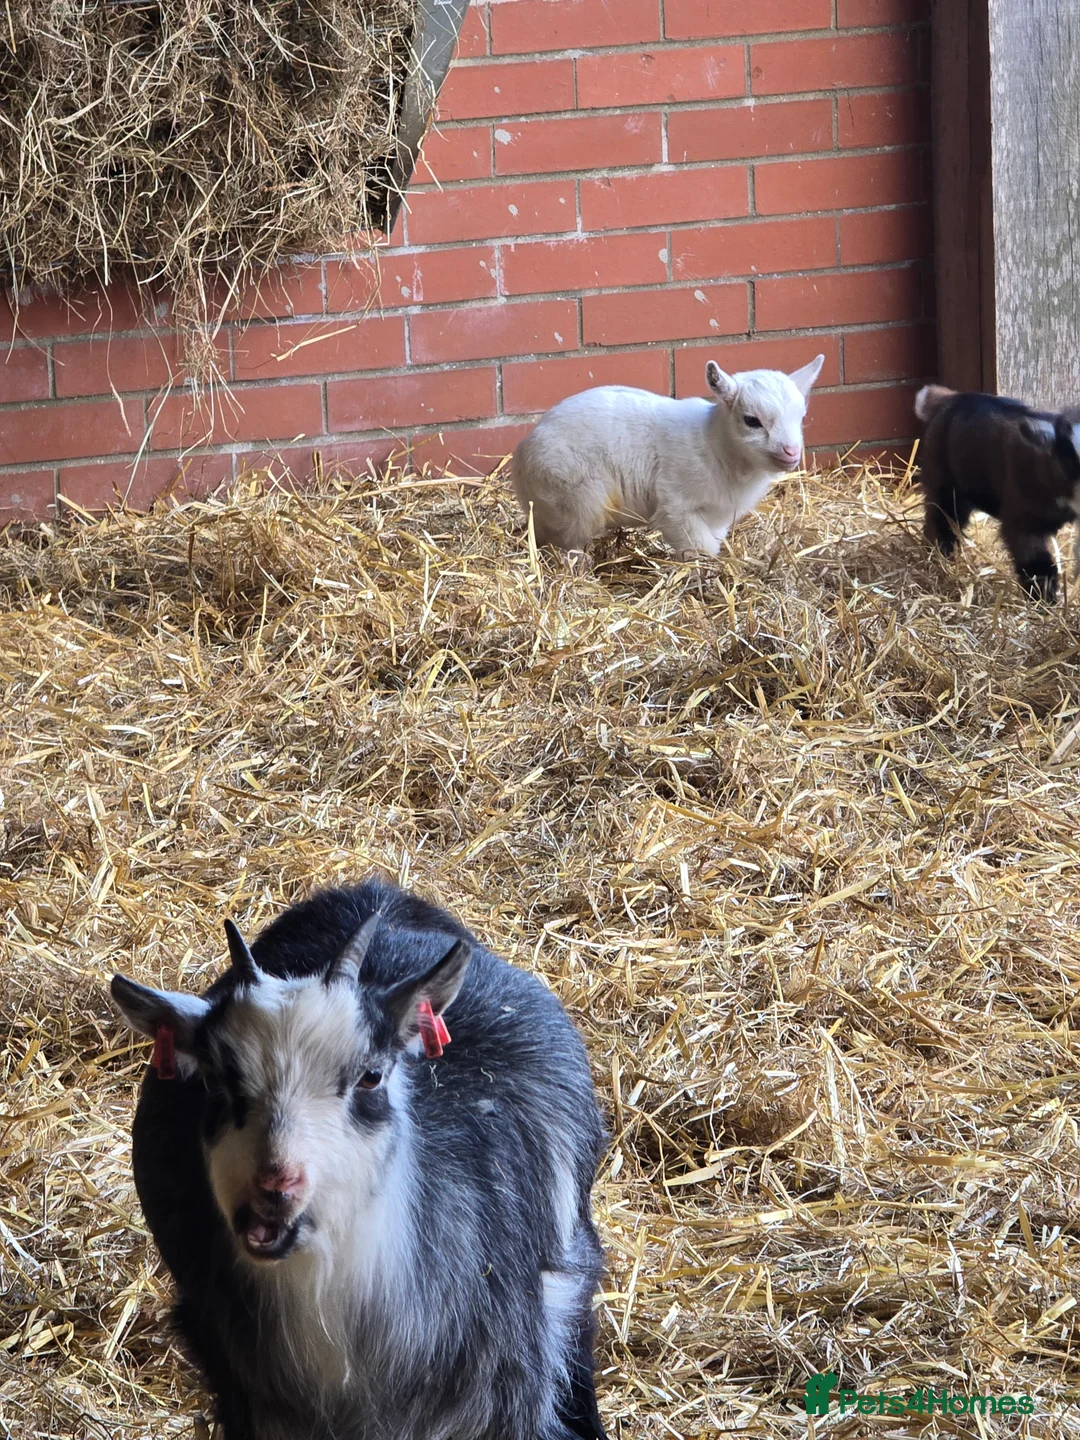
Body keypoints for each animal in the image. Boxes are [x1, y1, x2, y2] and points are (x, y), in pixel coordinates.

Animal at [510, 356, 825, 561]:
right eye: (751, 420)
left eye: (801, 417)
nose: (791, 452)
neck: (715, 446)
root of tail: (519, 459)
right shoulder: (677, 506)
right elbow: (700, 548)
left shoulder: (716, 517)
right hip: (573, 498)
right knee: (564, 542)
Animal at [915, 385, 1080, 600]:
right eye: (1068, 460)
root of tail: (949, 398)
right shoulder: (1024, 521)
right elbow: (1037, 564)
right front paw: (1044, 600)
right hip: (944, 484)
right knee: (941, 521)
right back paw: (939, 559)